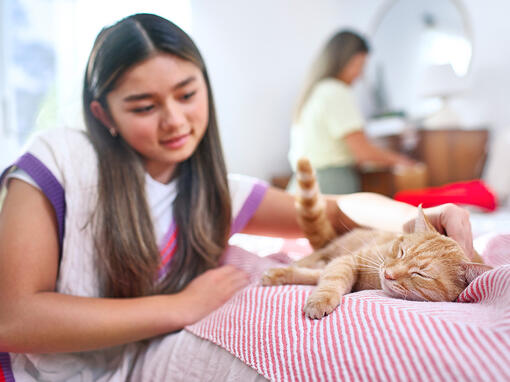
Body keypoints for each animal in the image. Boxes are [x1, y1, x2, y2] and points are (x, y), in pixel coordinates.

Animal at [260, 157, 492, 318]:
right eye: (401, 252)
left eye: (420, 274)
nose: (388, 274)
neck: (371, 281)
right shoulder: (350, 259)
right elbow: (332, 280)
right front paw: (321, 298)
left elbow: (323, 277)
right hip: (326, 252)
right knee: (309, 264)